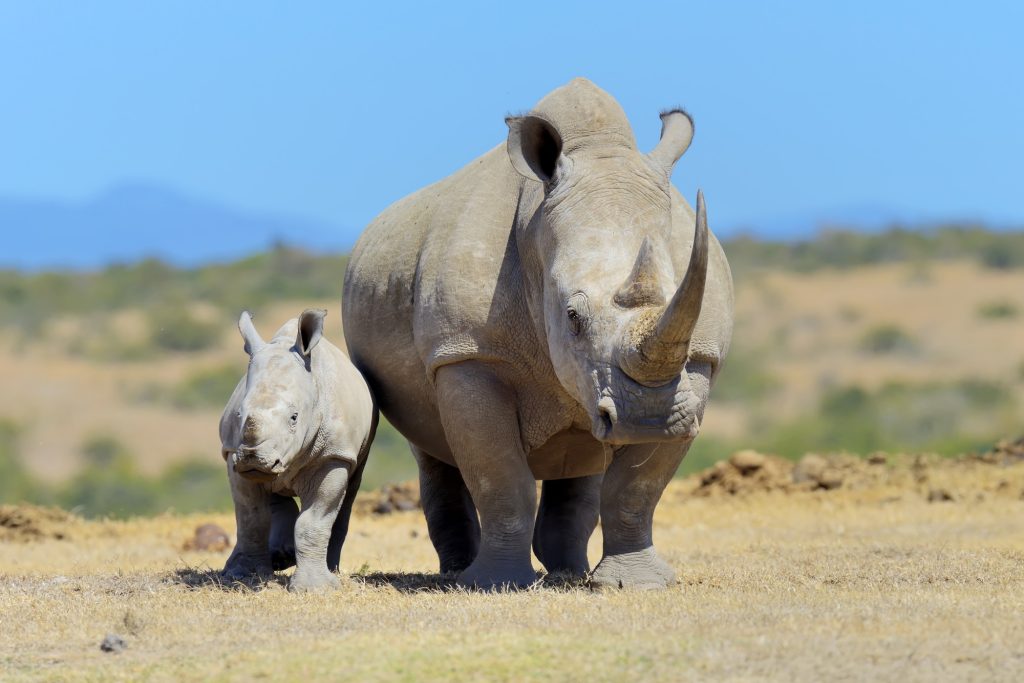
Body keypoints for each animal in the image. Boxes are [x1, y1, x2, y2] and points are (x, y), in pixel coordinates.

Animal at [220, 309, 377, 592]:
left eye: (294, 418)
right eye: (239, 415)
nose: (254, 459)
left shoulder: (333, 455)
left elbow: (314, 519)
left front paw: (316, 588)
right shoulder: (232, 453)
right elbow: (251, 518)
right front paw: (244, 577)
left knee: (347, 496)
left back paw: (330, 570)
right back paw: (277, 558)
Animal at [343, 78, 733, 589]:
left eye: (684, 299)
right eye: (572, 316)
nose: (646, 417)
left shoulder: (698, 360)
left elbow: (637, 488)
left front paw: (635, 584)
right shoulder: (468, 353)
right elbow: (501, 478)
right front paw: (493, 584)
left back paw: (570, 572)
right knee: (432, 448)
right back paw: (458, 574)